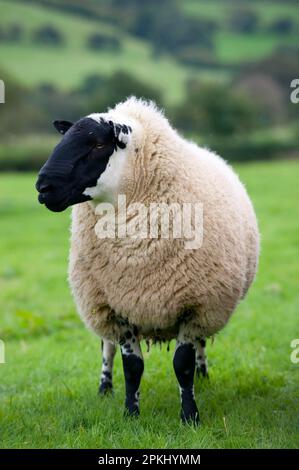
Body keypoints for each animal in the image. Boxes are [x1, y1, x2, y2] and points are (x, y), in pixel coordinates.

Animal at [35, 97, 260, 424]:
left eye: (98, 145)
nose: (43, 188)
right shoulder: (117, 306)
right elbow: (132, 367)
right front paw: (131, 414)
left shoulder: (194, 304)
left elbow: (182, 364)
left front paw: (190, 416)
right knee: (106, 347)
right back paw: (104, 388)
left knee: (200, 344)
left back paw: (203, 375)